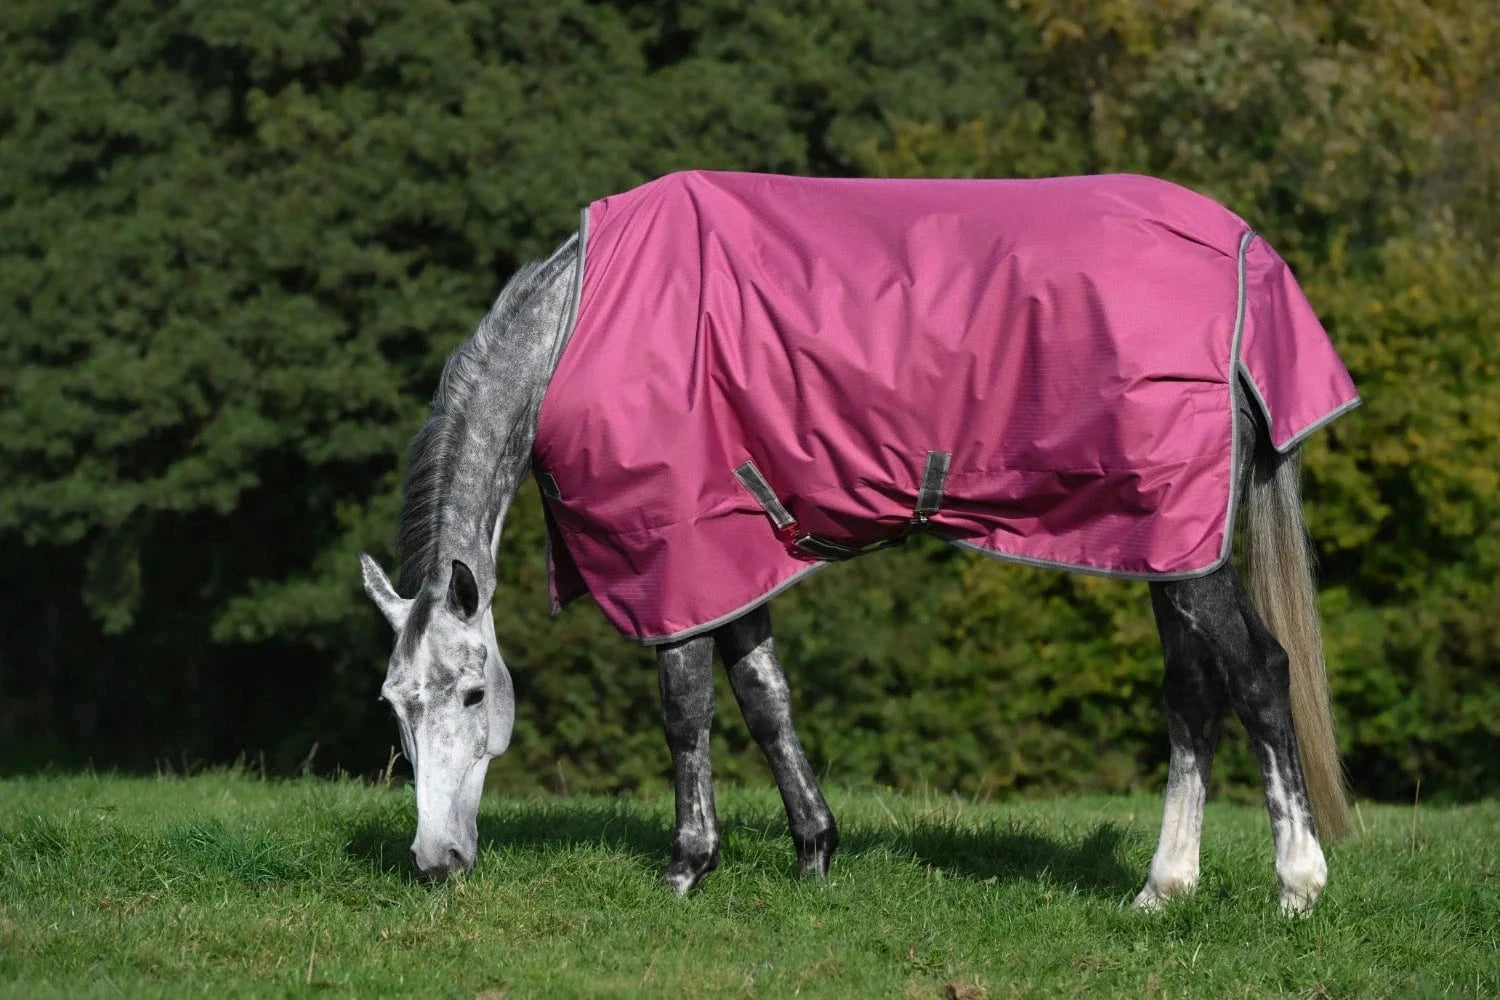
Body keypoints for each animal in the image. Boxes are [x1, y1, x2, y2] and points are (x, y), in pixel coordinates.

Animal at [359, 171, 1358, 913]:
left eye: (474, 693)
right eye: (393, 704)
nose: (437, 862)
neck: (579, 329)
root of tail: (1245, 254)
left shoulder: (675, 560)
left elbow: (687, 710)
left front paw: (687, 864)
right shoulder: (734, 559)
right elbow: (766, 699)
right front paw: (814, 850)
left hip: (1184, 547)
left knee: (1259, 673)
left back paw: (1297, 885)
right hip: (1163, 542)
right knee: (1193, 694)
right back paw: (1164, 887)